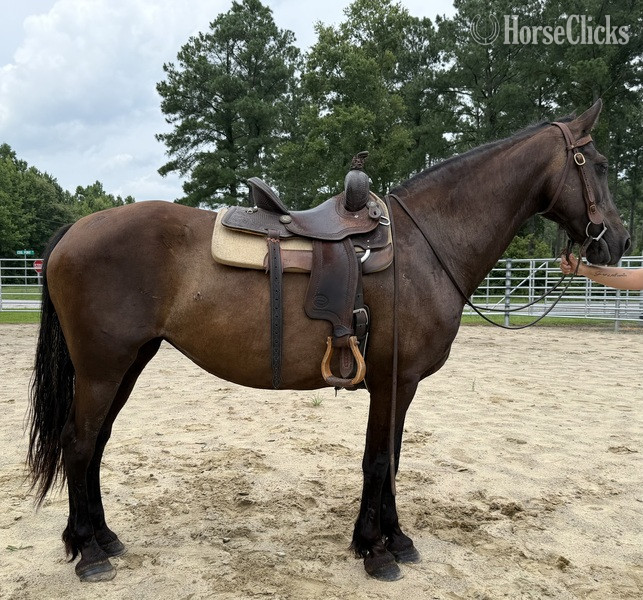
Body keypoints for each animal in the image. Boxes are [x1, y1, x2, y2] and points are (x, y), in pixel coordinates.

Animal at [27, 100, 630, 583]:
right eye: (598, 165)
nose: (619, 241)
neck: (426, 245)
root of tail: (75, 230)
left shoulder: (398, 384)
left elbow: (390, 457)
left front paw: (392, 540)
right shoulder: (393, 379)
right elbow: (379, 461)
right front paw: (377, 552)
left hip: (127, 363)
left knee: (95, 444)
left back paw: (101, 539)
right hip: (103, 368)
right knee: (78, 445)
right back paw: (89, 555)